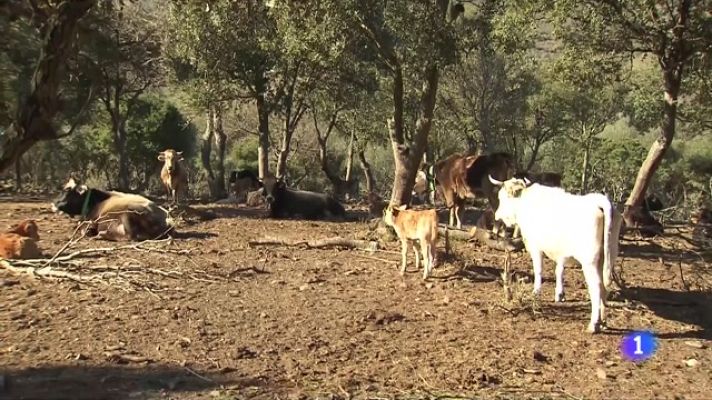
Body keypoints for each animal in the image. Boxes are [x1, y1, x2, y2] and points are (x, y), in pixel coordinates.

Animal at [489, 175, 622, 333]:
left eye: (502, 197)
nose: (497, 216)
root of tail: (598, 201)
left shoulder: (536, 246)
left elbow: (539, 270)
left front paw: (536, 293)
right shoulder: (560, 252)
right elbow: (559, 269)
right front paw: (559, 294)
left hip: (590, 261)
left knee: (596, 287)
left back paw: (593, 325)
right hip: (608, 257)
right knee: (604, 288)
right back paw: (603, 322)